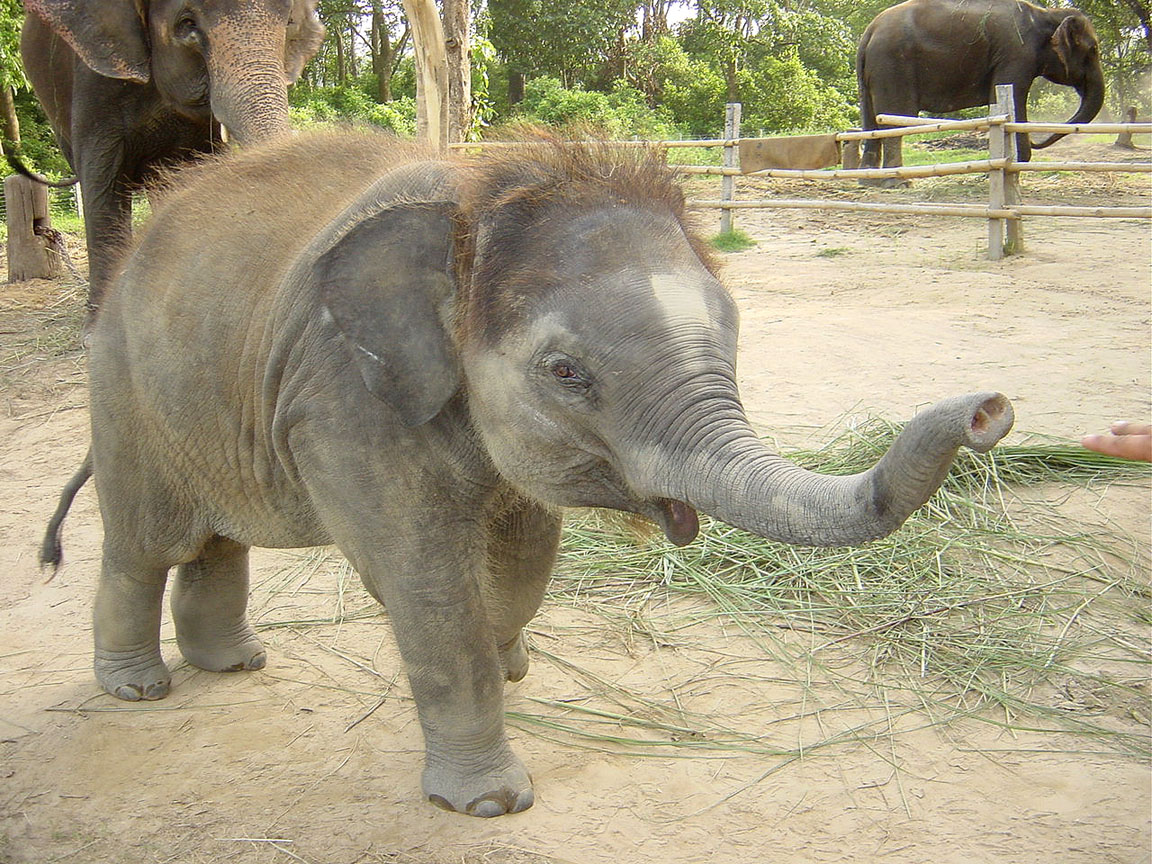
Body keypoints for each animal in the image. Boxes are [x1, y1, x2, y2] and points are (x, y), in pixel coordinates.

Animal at [42, 128, 1018, 820]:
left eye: (734, 337)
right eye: (566, 372)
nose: (989, 411)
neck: (480, 193)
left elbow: (525, 553)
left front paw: (513, 664)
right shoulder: (341, 398)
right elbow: (427, 586)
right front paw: (491, 803)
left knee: (214, 542)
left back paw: (236, 665)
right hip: (122, 394)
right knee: (145, 544)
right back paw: (139, 687)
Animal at [861, 0, 1101, 176]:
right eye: (1094, 50)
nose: (1035, 140)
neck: (1047, 14)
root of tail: (869, 30)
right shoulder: (1016, 53)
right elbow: (1012, 94)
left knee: (870, 119)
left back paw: (870, 180)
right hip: (893, 65)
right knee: (893, 118)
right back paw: (896, 182)